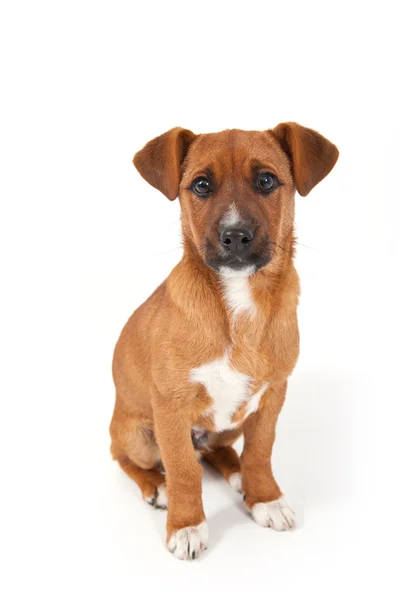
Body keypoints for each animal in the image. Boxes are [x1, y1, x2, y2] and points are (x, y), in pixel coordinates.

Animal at [110, 124, 340, 560]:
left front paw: (264, 497)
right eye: (201, 185)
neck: (239, 300)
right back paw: (156, 486)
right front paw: (186, 525)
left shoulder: (272, 394)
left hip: (231, 423)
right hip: (137, 434)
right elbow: (183, 469)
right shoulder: (170, 406)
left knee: (219, 451)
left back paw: (237, 477)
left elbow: (260, 451)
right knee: (125, 458)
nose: (235, 236)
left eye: (266, 180)